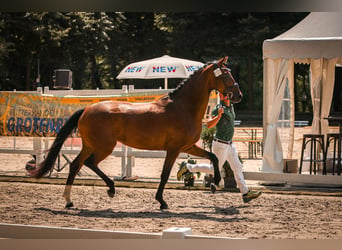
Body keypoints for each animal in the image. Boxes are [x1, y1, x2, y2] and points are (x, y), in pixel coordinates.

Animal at [30, 56, 243, 209]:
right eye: (225, 74)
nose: (238, 95)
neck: (183, 107)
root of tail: (87, 109)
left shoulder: (189, 146)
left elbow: (213, 157)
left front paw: (215, 182)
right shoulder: (174, 149)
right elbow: (165, 174)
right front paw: (161, 201)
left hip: (89, 145)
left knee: (75, 165)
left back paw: (68, 200)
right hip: (104, 147)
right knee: (90, 163)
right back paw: (111, 189)